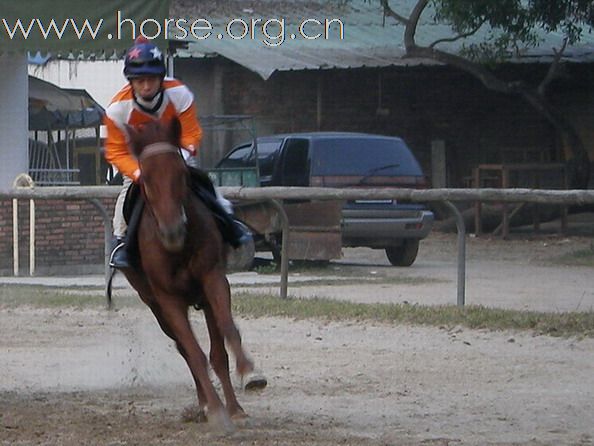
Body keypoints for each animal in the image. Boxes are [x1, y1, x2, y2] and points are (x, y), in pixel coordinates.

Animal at [121, 118, 256, 432]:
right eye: (145, 177)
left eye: (181, 173)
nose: (172, 232)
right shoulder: (167, 300)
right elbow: (194, 352)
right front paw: (216, 410)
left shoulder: (213, 280)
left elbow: (224, 339)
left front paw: (240, 393)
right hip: (154, 305)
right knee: (184, 348)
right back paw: (205, 404)